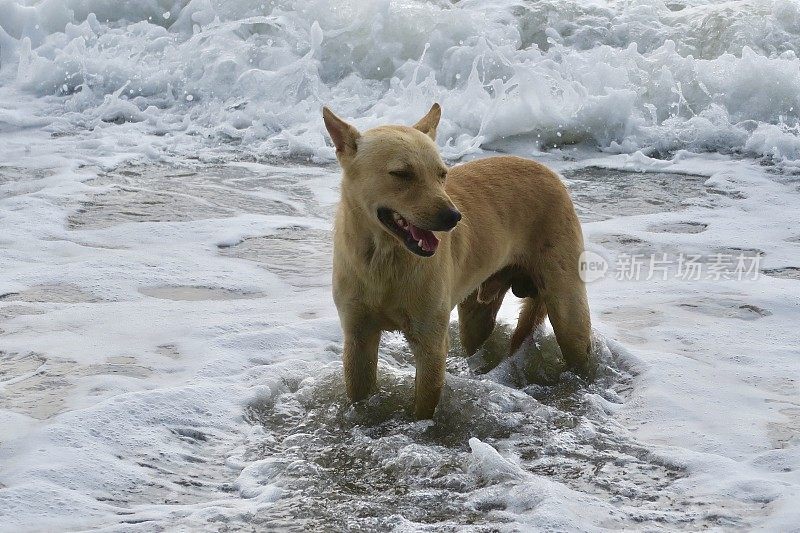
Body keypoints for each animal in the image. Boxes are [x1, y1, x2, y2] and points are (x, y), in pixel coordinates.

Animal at [322, 104, 592, 418]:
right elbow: (360, 395)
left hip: (568, 310)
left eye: (442, 174)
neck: (385, 258)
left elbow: (424, 405)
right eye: (401, 174)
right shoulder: (358, 339)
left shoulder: (431, 344)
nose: (453, 217)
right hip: (475, 315)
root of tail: (550, 172)